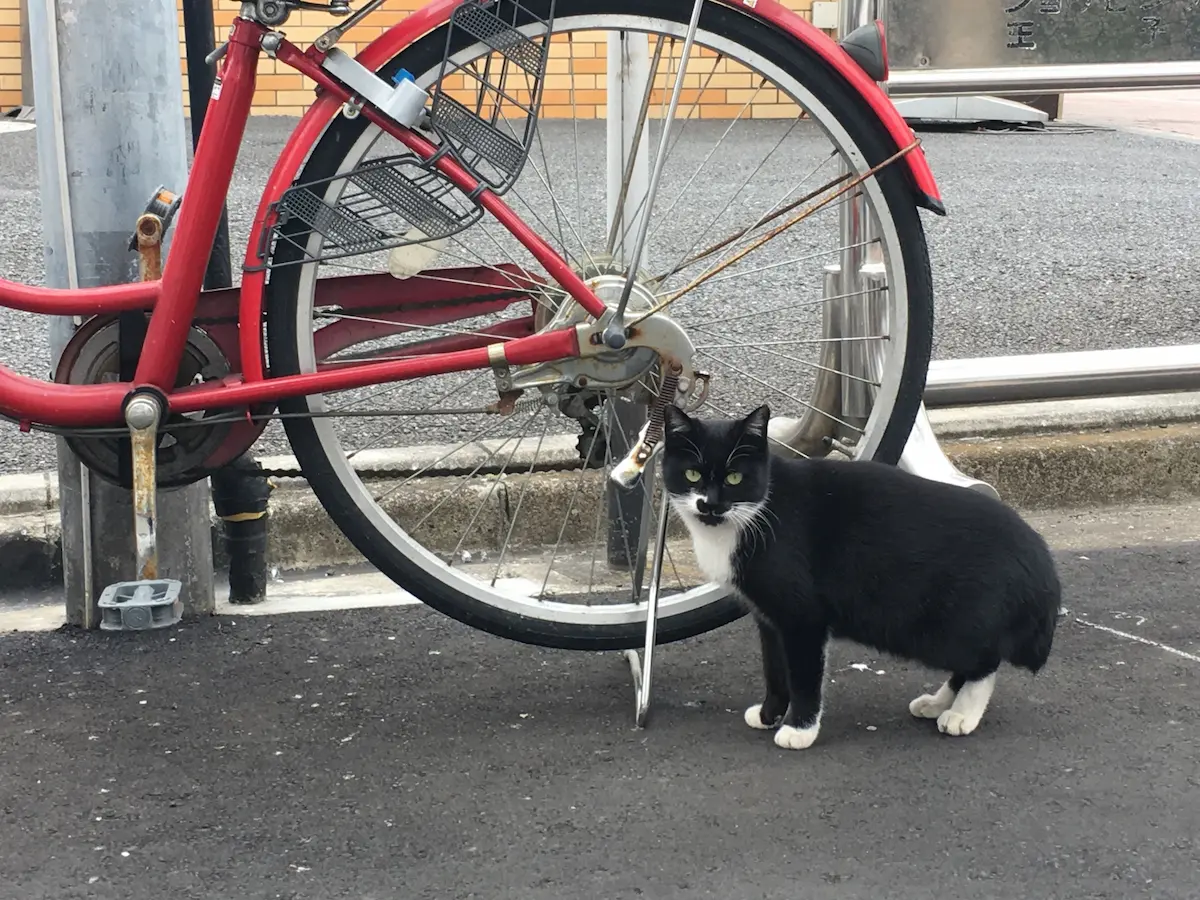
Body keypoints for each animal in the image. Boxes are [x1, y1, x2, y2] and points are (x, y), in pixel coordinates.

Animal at [662, 405, 1065, 748]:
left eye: (734, 477)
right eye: (692, 473)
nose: (710, 504)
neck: (753, 515)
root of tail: (1038, 554)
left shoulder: (802, 617)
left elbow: (804, 676)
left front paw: (799, 729)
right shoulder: (768, 617)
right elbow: (775, 671)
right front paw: (768, 715)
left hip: (946, 624)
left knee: (984, 661)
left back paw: (962, 714)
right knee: (969, 663)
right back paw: (936, 703)